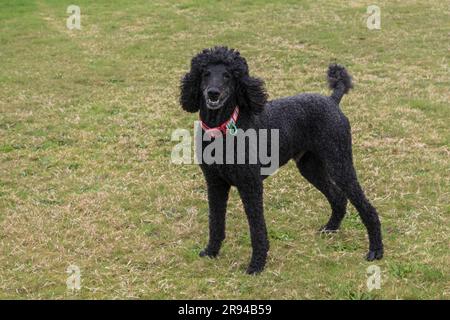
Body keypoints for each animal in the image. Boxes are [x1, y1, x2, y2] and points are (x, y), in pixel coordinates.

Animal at [179, 46, 384, 274]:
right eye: (205, 74)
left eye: (228, 75)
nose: (213, 93)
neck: (223, 128)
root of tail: (332, 100)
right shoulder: (215, 183)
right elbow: (215, 222)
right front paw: (211, 251)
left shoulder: (250, 184)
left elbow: (257, 229)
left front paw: (256, 265)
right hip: (310, 166)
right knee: (338, 197)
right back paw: (330, 228)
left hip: (340, 162)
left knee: (366, 207)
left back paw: (376, 249)